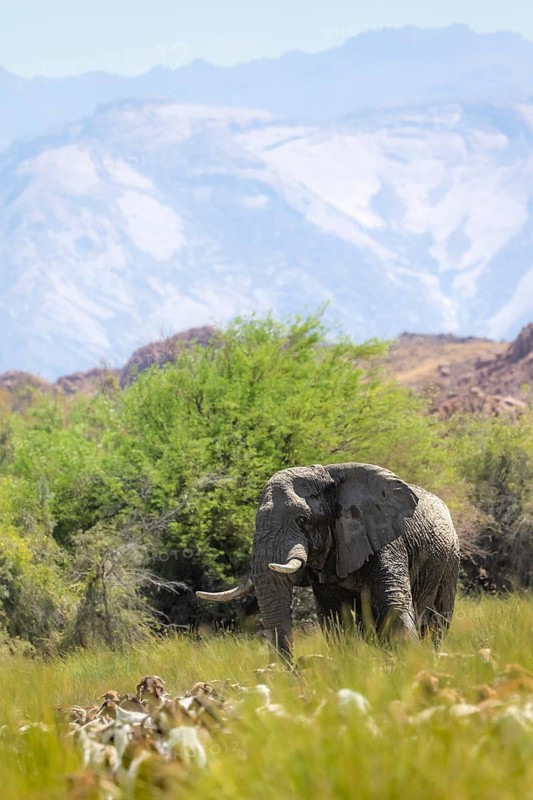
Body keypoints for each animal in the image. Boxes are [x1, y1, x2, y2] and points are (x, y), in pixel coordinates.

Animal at [197, 463, 460, 661]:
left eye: (302, 520)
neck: (329, 476)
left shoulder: (385, 541)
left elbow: (393, 605)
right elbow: (336, 620)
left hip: (450, 560)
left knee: (437, 619)